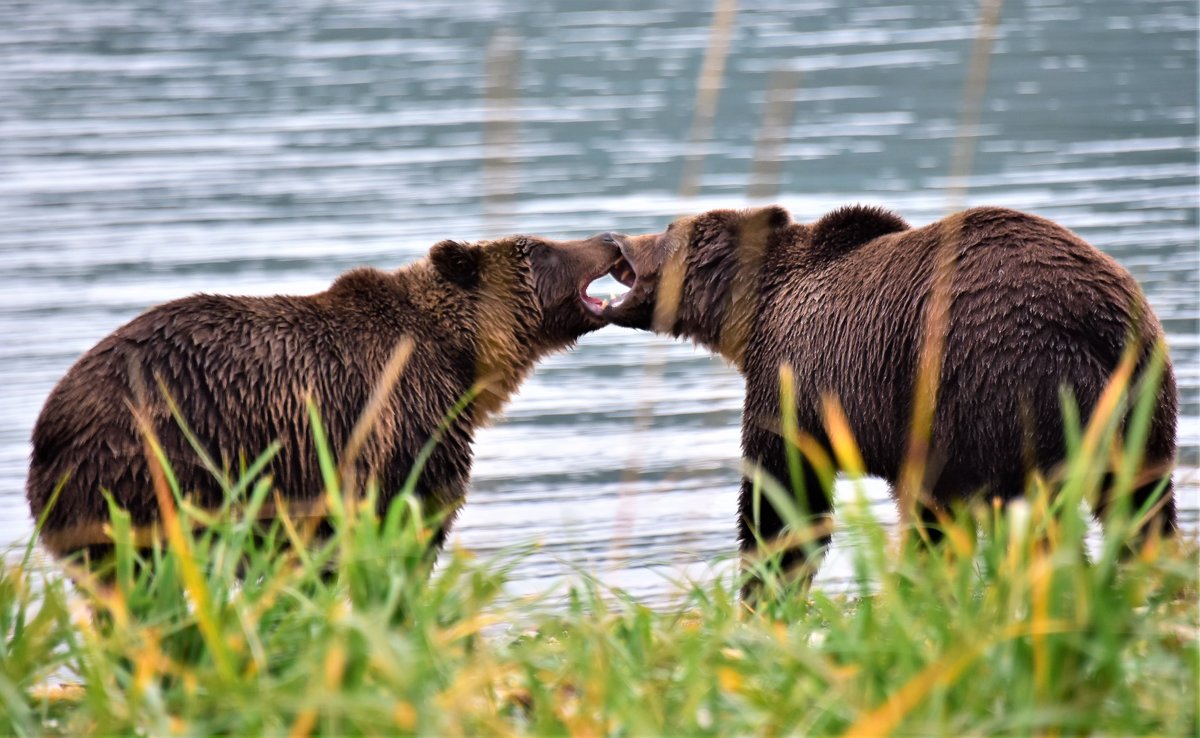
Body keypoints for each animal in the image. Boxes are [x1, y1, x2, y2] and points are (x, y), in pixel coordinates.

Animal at [31, 234, 624, 564]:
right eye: (539, 247)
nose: (611, 238)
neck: (460, 357)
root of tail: (51, 426)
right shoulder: (397, 418)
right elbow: (407, 518)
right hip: (153, 467)